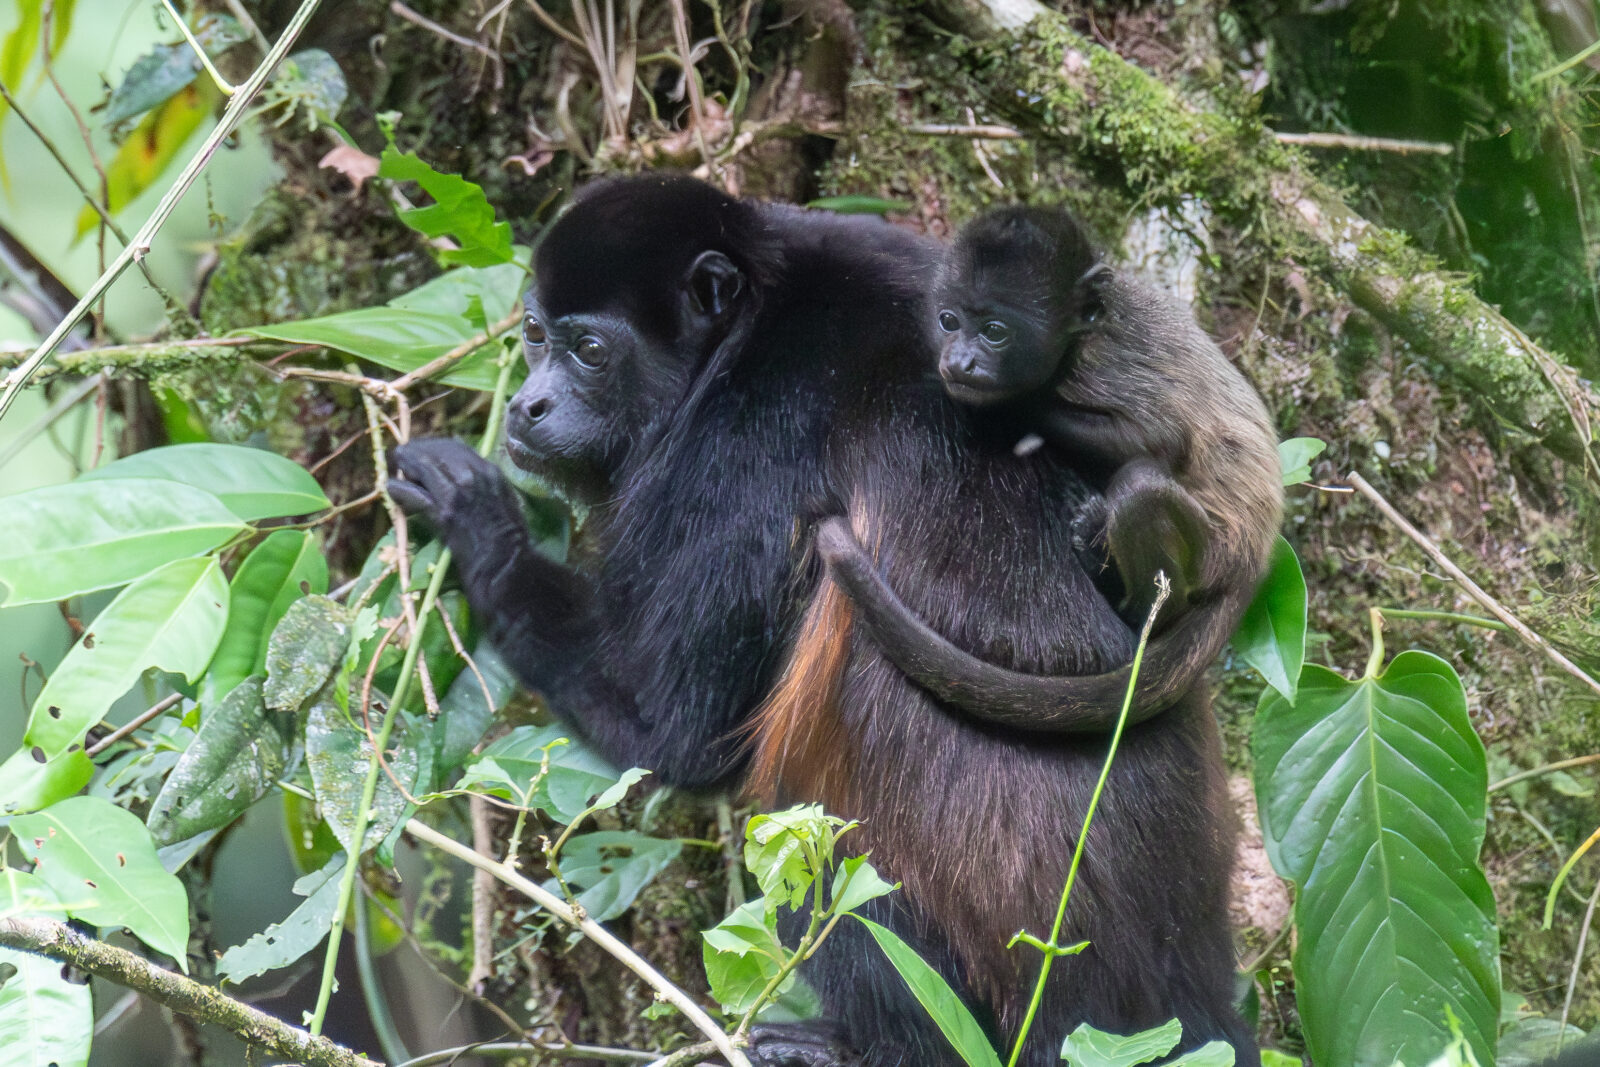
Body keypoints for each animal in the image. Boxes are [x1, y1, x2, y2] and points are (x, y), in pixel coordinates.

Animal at [813, 204, 1283, 732]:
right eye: (949, 320)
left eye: (995, 331)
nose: (959, 360)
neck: (1076, 342)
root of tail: (1256, 554)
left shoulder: (1101, 365)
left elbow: (1159, 438)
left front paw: (1010, 405)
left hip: (1214, 552)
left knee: (1139, 486)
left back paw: (1140, 607)